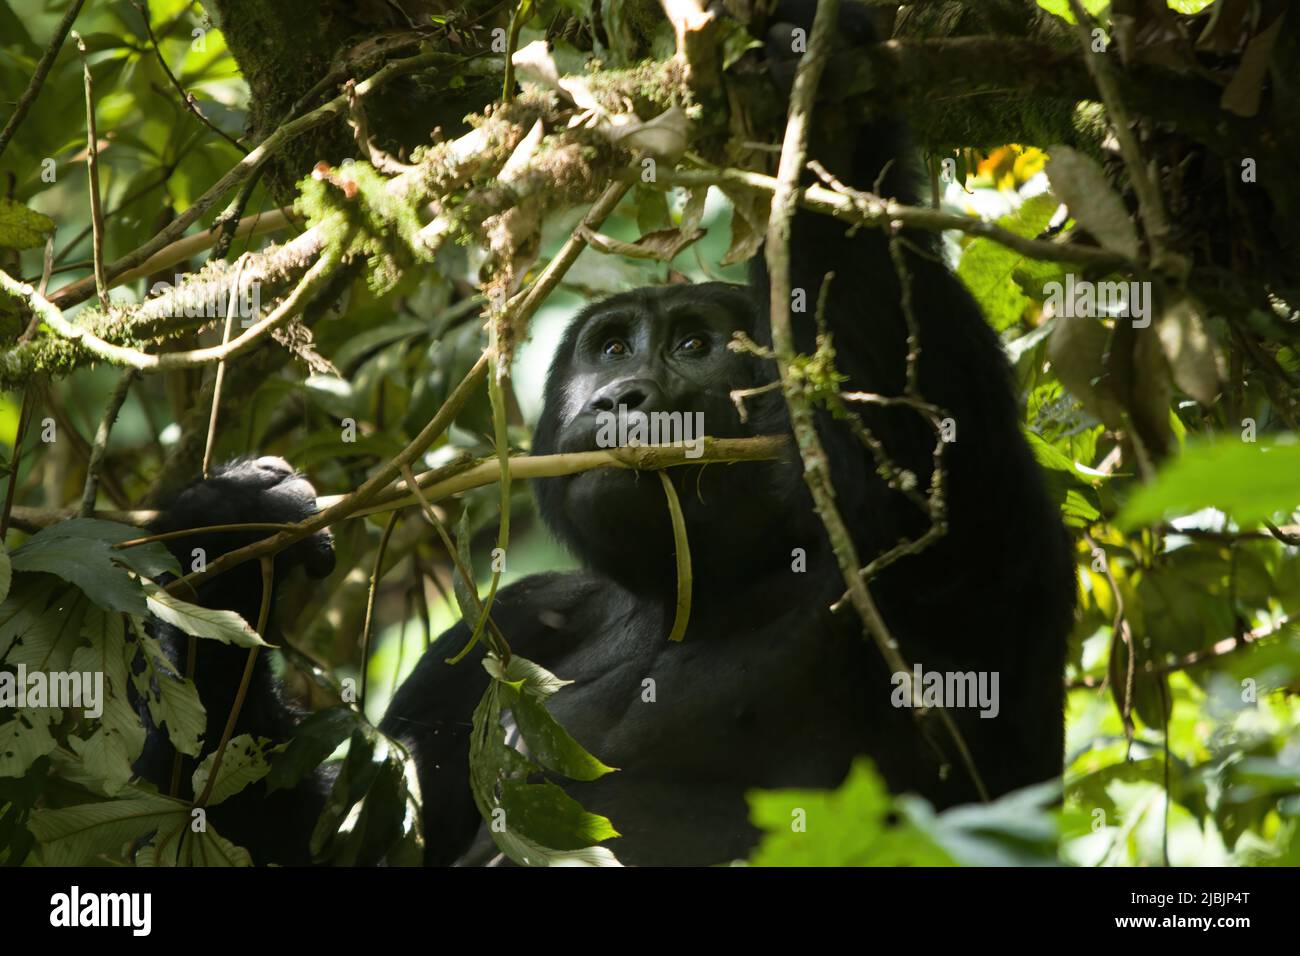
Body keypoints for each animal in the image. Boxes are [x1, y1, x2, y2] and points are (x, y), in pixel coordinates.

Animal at [134, 1, 1076, 868]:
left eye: (694, 346)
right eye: (613, 346)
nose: (626, 396)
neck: (689, 595)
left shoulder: (981, 544)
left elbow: (930, 458)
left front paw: (823, 108)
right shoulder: (501, 625)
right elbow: (353, 835)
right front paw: (227, 539)